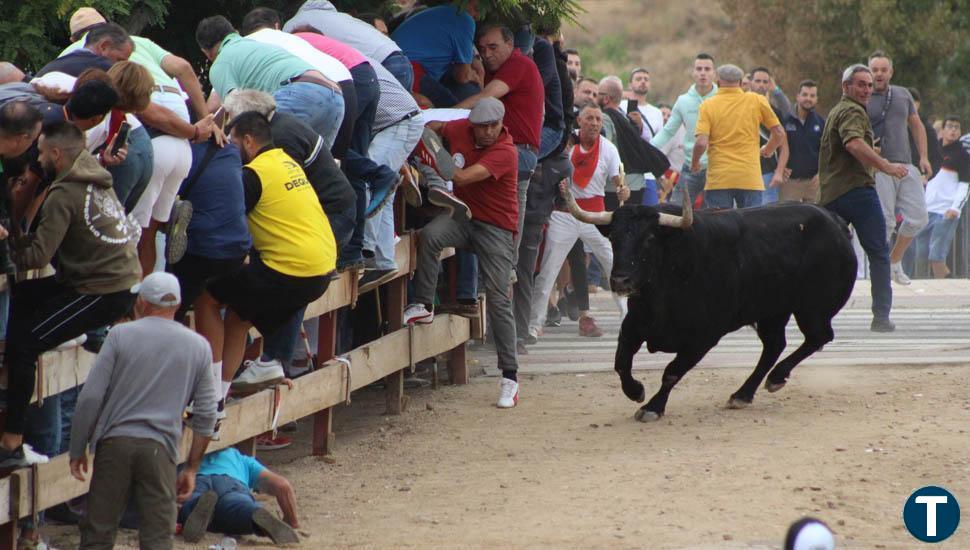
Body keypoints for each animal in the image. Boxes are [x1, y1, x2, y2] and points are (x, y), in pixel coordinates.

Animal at [560, 185, 856, 422]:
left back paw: (775, 378)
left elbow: (672, 372)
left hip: (813, 309)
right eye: (613, 237)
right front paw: (636, 391)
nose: (621, 280)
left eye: (649, 238)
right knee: (774, 345)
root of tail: (836, 222)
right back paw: (743, 394)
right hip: (773, 312)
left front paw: (652, 407)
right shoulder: (633, 326)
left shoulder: (703, 338)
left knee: (818, 337)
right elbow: (621, 363)